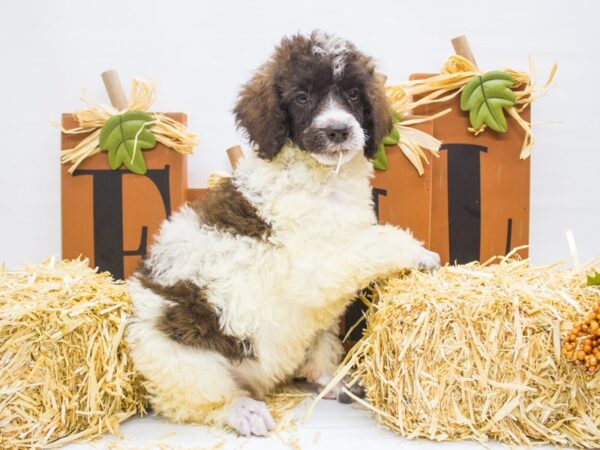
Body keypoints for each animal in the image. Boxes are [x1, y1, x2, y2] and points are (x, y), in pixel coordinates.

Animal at [125, 30, 440, 436]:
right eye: (302, 97)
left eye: (355, 94)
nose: (338, 130)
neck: (324, 180)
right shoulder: (316, 265)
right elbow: (376, 241)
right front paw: (422, 253)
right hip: (179, 355)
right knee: (199, 400)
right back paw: (243, 409)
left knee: (315, 361)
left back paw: (335, 383)